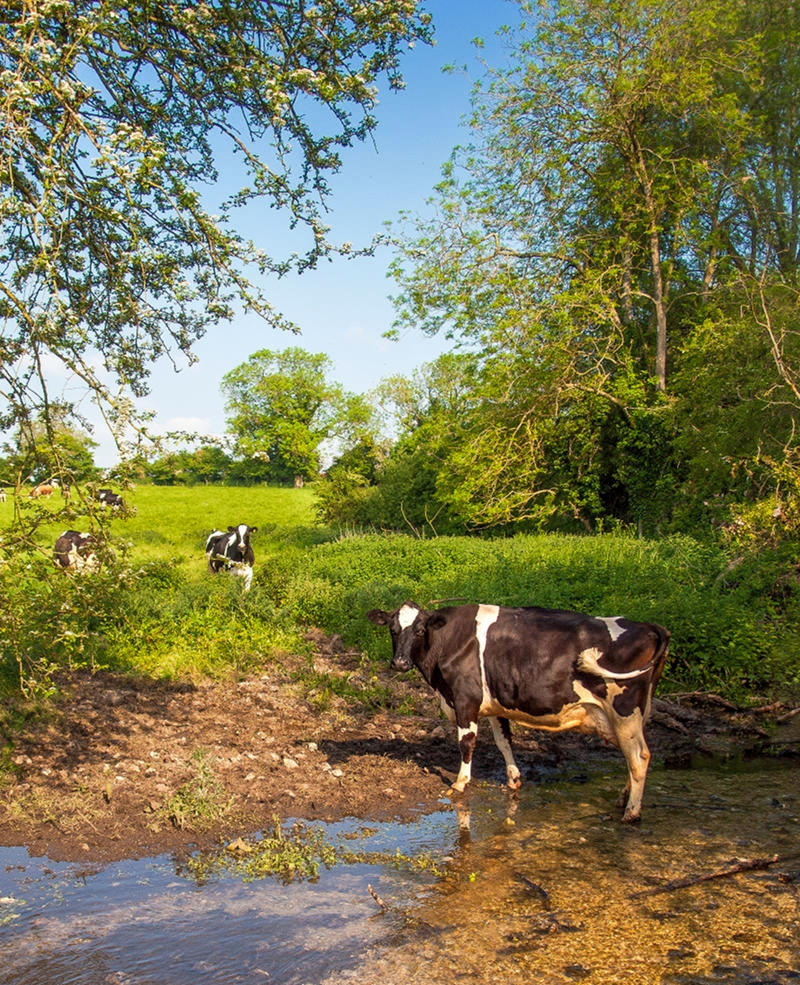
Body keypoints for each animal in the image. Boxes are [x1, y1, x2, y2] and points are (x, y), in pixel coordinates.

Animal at [367, 601, 670, 823]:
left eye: (419, 630)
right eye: (393, 630)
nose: (400, 663)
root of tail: (650, 626)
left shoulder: (465, 700)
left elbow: (466, 743)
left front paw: (460, 783)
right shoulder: (493, 704)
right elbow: (504, 742)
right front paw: (514, 779)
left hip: (624, 708)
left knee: (639, 756)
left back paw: (631, 813)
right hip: (635, 713)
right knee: (634, 755)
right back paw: (623, 799)